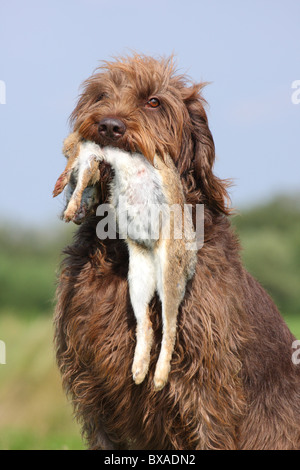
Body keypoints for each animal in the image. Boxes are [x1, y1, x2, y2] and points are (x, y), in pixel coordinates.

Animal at [52, 132, 198, 390]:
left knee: (170, 327)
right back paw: (138, 372)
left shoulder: (90, 158)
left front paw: (69, 204)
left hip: (169, 273)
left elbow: (83, 173)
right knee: (146, 324)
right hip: (137, 279)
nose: (73, 217)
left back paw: (159, 379)